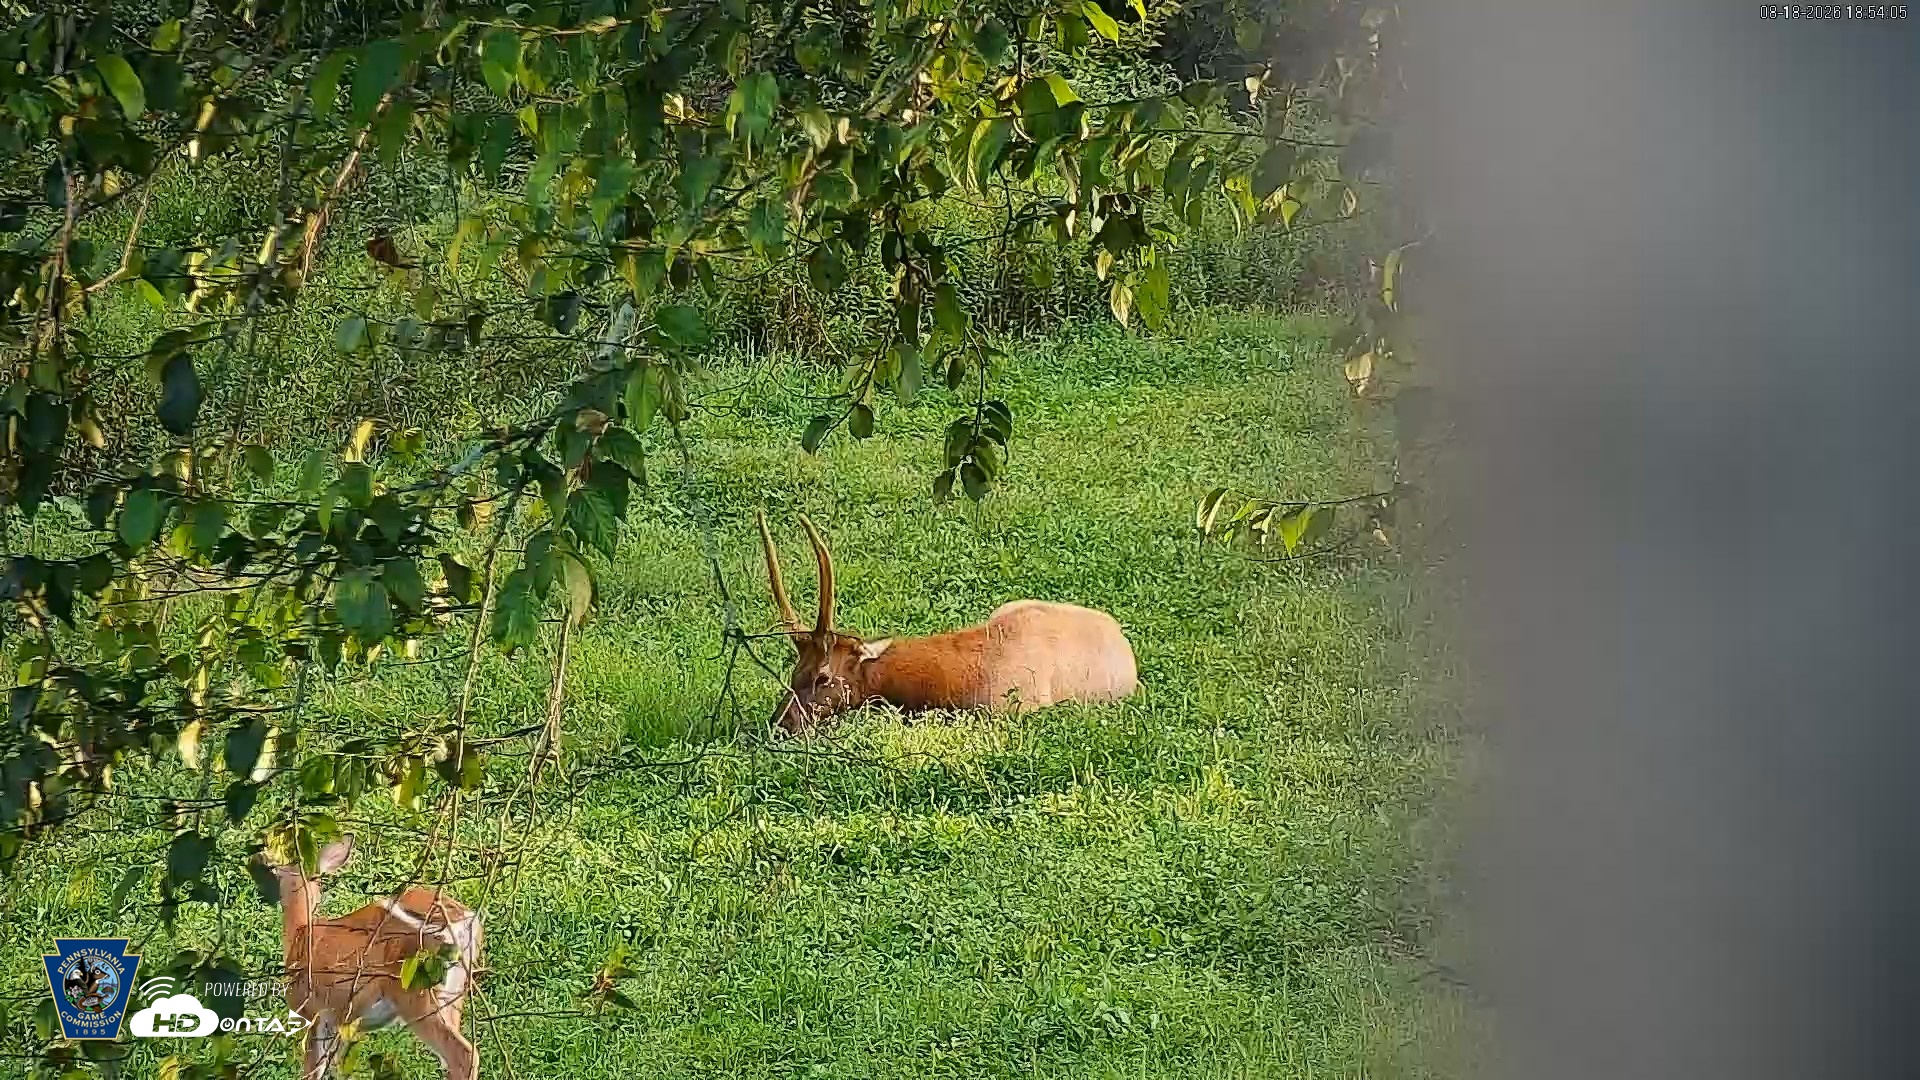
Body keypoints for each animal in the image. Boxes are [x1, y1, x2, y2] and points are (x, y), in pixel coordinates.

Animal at [266, 837, 482, 1080]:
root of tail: (463, 921)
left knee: (463, 1054)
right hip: (455, 992)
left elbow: (313, 1070)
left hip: (417, 992)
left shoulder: (310, 1011)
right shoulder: (341, 1021)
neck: (300, 932)